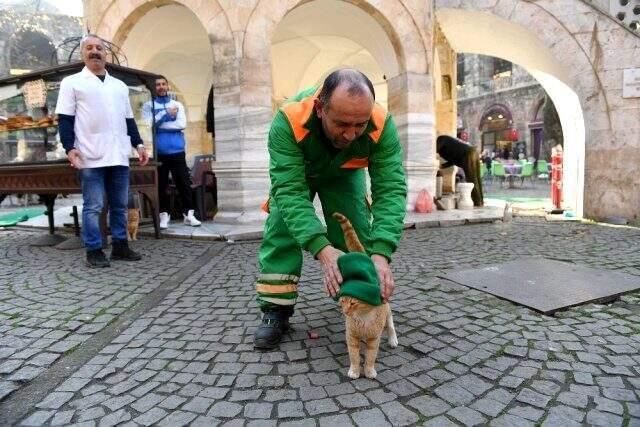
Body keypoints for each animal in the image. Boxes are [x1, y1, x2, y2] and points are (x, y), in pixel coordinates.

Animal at [336, 212, 396, 380]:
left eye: (353, 303)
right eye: (342, 301)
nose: (345, 312)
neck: (363, 319)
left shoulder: (374, 339)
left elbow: (370, 356)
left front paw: (369, 371)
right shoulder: (351, 337)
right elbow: (354, 356)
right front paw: (355, 371)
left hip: (387, 309)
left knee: (390, 323)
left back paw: (393, 339)